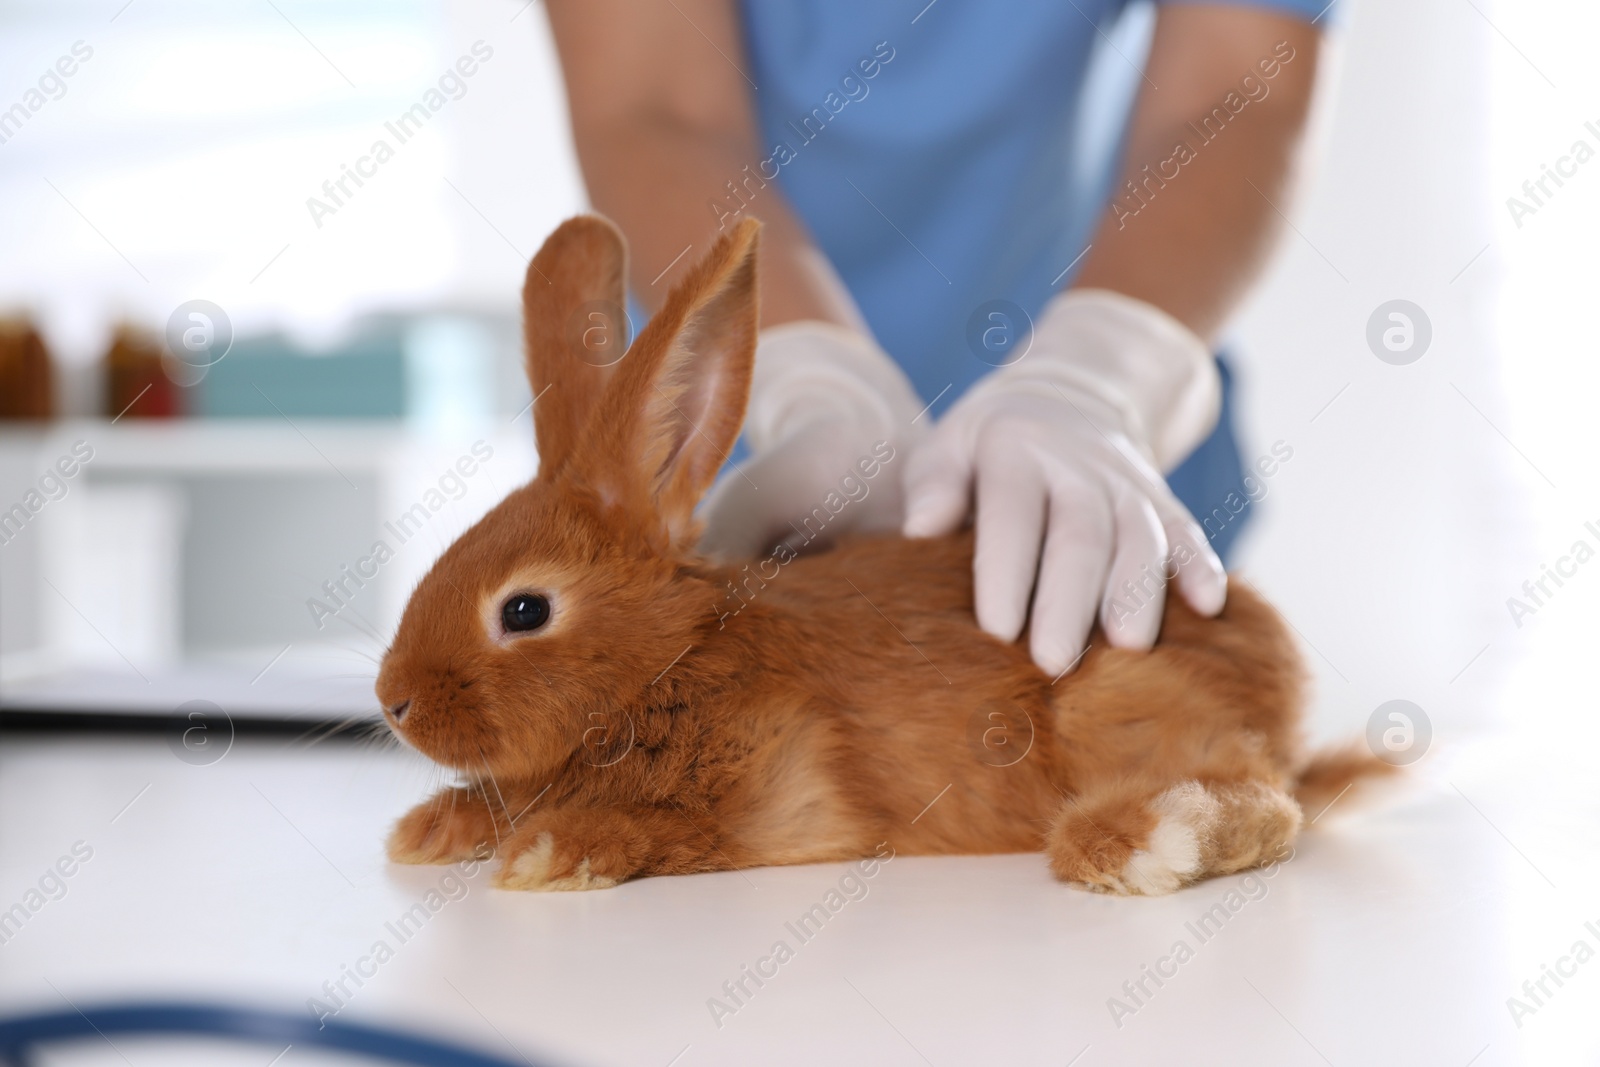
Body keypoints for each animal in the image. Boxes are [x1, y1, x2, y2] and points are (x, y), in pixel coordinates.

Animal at [374, 214, 1388, 895]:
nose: (393, 701)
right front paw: (431, 830)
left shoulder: (781, 799)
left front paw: (553, 850)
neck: (665, 661)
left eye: (523, 610)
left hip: (1111, 699)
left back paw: (1138, 837)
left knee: (1269, 801)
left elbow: (664, 826)